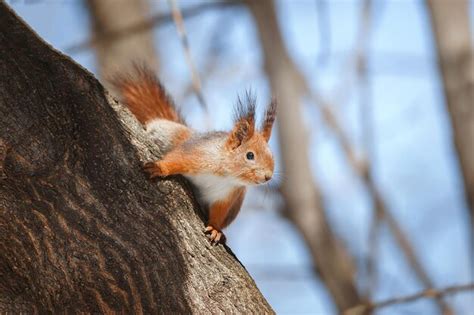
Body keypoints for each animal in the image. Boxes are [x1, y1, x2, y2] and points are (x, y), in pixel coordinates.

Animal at [113, 66, 276, 244]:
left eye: (272, 156)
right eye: (250, 155)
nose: (268, 177)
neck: (226, 175)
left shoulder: (228, 195)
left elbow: (219, 213)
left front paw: (215, 228)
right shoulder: (197, 155)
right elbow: (177, 159)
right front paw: (159, 168)